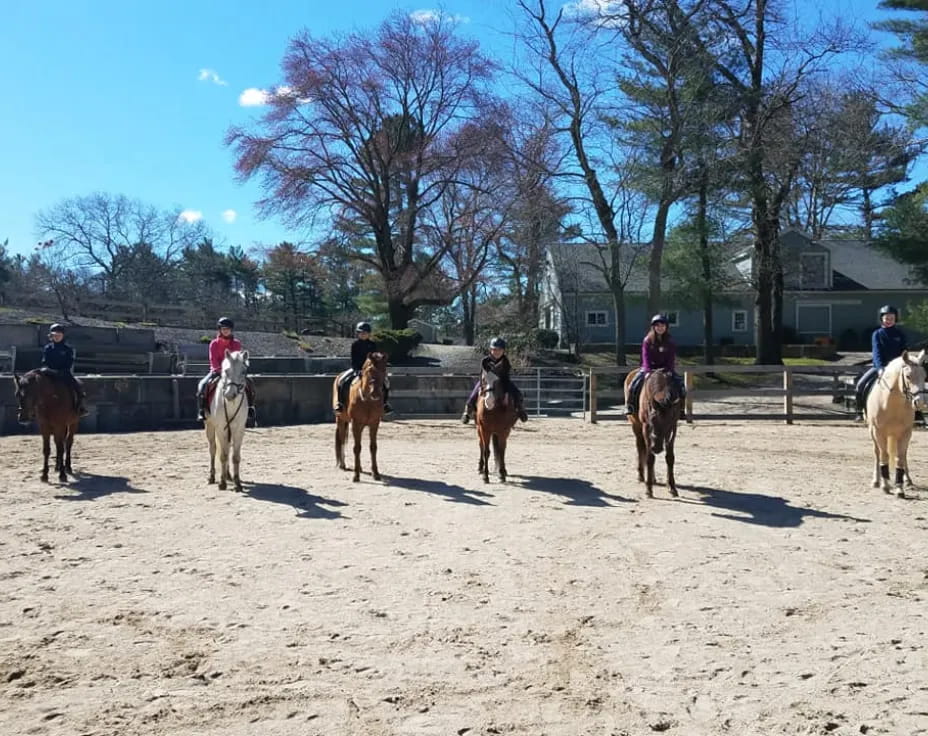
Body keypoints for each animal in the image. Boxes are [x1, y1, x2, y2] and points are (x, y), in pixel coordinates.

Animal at [205, 350, 250, 492]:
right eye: (226, 370)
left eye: (243, 371)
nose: (230, 395)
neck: (231, 404)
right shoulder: (220, 429)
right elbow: (223, 455)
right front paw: (222, 483)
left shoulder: (239, 430)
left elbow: (235, 457)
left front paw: (237, 483)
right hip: (209, 426)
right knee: (213, 449)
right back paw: (212, 477)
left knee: (227, 448)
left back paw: (228, 475)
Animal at [332, 352, 386, 484]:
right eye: (370, 370)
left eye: (384, 369)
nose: (376, 394)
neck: (368, 401)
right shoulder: (356, 423)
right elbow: (356, 448)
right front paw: (356, 476)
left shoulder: (374, 423)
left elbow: (373, 447)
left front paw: (376, 473)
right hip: (341, 420)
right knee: (342, 439)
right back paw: (343, 465)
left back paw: (360, 468)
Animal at [624, 370, 680, 498]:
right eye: (652, 419)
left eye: (669, 422)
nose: (657, 447)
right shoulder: (646, 427)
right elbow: (650, 458)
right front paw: (648, 489)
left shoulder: (673, 429)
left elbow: (670, 457)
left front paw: (672, 487)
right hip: (636, 426)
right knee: (640, 448)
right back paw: (641, 476)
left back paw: (653, 478)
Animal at [864, 350, 928, 500]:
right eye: (908, 376)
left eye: (924, 376)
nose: (920, 403)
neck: (892, 404)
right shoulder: (879, 432)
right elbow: (884, 455)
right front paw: (885, 485)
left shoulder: (905, 433)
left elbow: (900, 458)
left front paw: (899, 488)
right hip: (872, 431)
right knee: (877, 453)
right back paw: (876, 481)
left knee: (904, 455)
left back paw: (908, 480)